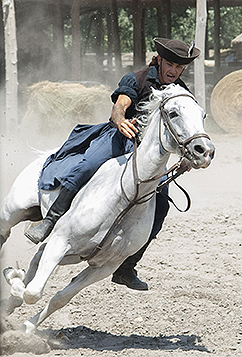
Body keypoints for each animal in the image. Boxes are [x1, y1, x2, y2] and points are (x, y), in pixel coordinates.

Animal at [0, 83, 216, 330]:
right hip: (13, 212)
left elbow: (59, 298)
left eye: (203, 115)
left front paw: (28, 327)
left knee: (38, 256)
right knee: (7, 235)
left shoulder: (104, 266)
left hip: (71, 253)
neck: (127, 198)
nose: (204, 151)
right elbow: (32, 292)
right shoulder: (61, 241)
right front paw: (13, 278)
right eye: (173, 113)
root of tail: (46, 156)